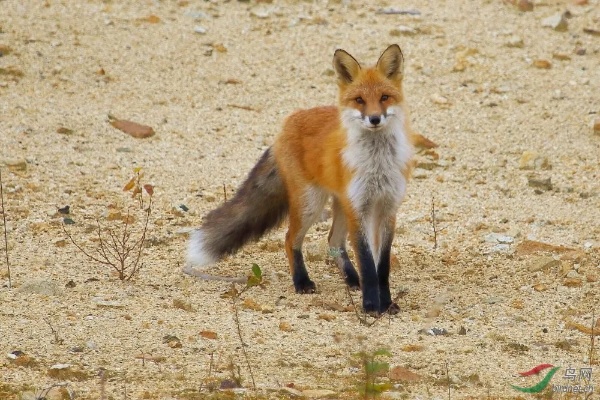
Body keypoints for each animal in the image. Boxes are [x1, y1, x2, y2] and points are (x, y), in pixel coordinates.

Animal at [185, 45, 414, 314]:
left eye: (384, 97)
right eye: (360, 100)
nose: (375, 119)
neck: (377, 164)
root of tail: (288, 122)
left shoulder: (387, 208)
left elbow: (382, 267)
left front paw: (386, 304)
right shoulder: (359, 208)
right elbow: (368, 264)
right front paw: (370, 306)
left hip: (340, 204)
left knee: (333, 241)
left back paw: (351, 279)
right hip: (310, 204)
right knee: (290, 239)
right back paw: (302, 282)